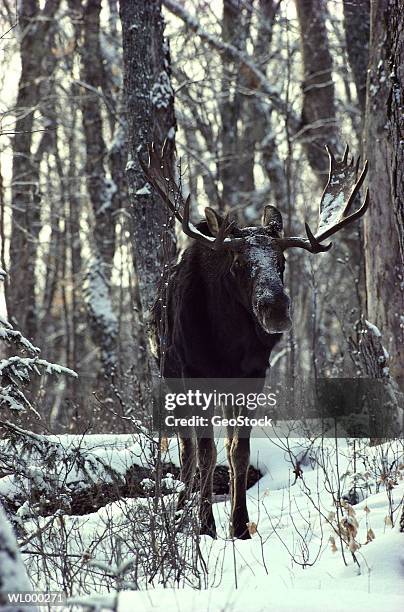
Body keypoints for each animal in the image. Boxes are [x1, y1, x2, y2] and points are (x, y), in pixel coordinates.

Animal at [140, 141, 368, 536]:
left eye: (281, 262)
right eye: (239, 264)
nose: (276, 309)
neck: (227, 346)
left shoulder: (251, 377)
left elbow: (239, 452)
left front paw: (239, 525)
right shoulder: (195, 376)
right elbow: (205, 452)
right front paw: (205, 524)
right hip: (170, 376)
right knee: (185, 448)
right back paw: (182, 508)